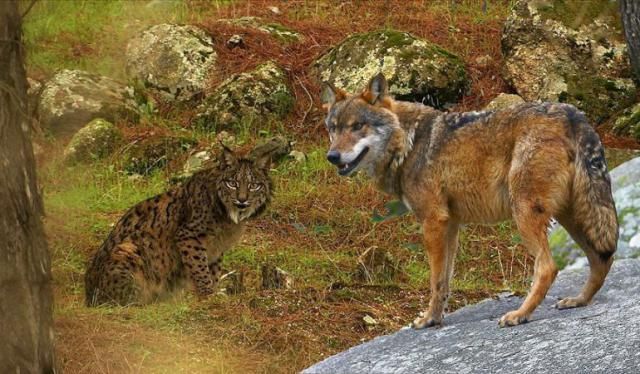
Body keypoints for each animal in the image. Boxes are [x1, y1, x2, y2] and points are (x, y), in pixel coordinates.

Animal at [322, 73, 616, 328]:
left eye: (357, 126)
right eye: (333, 129)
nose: (332, 157)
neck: (408, 142)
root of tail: (573, 115)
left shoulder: (433, 222)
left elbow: (435, 280)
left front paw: (428, 320)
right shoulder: (450, 225)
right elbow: (445, 281)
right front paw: (435, 318)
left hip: (526, 213)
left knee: (548, 267)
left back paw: (520, 314)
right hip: (571, 216)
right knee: (601, 258)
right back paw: (578, 300)